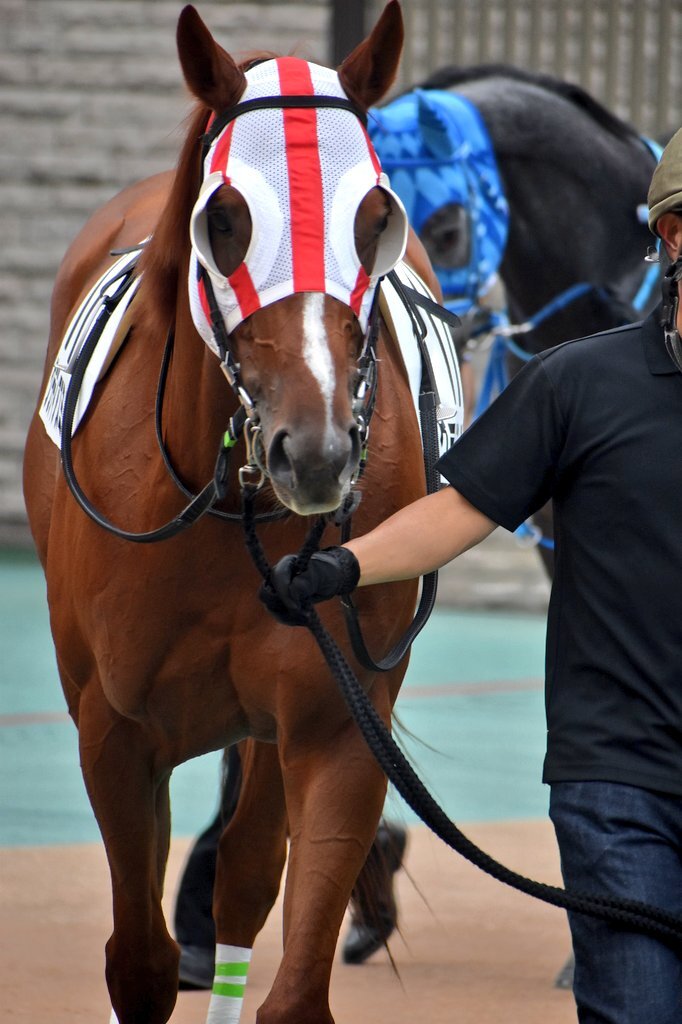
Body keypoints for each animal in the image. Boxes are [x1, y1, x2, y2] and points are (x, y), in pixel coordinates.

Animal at [22, 4, 448, 1022]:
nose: (318, 450)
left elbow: (284, 973)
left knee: (246, 882)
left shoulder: (336, 722)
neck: (227, 504)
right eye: (224, 220)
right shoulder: (114, 731)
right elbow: (138, 962)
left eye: (377, 219)